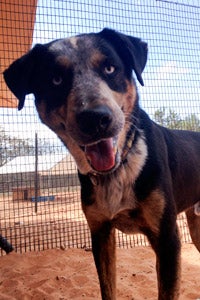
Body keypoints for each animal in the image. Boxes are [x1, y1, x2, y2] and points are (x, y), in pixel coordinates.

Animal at [3, 28, 200, 300]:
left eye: (109, 68)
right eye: (56, 79)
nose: (95, 119)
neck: (120, 168)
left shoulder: (167, 239)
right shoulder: (100, 234)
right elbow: (107, 288)